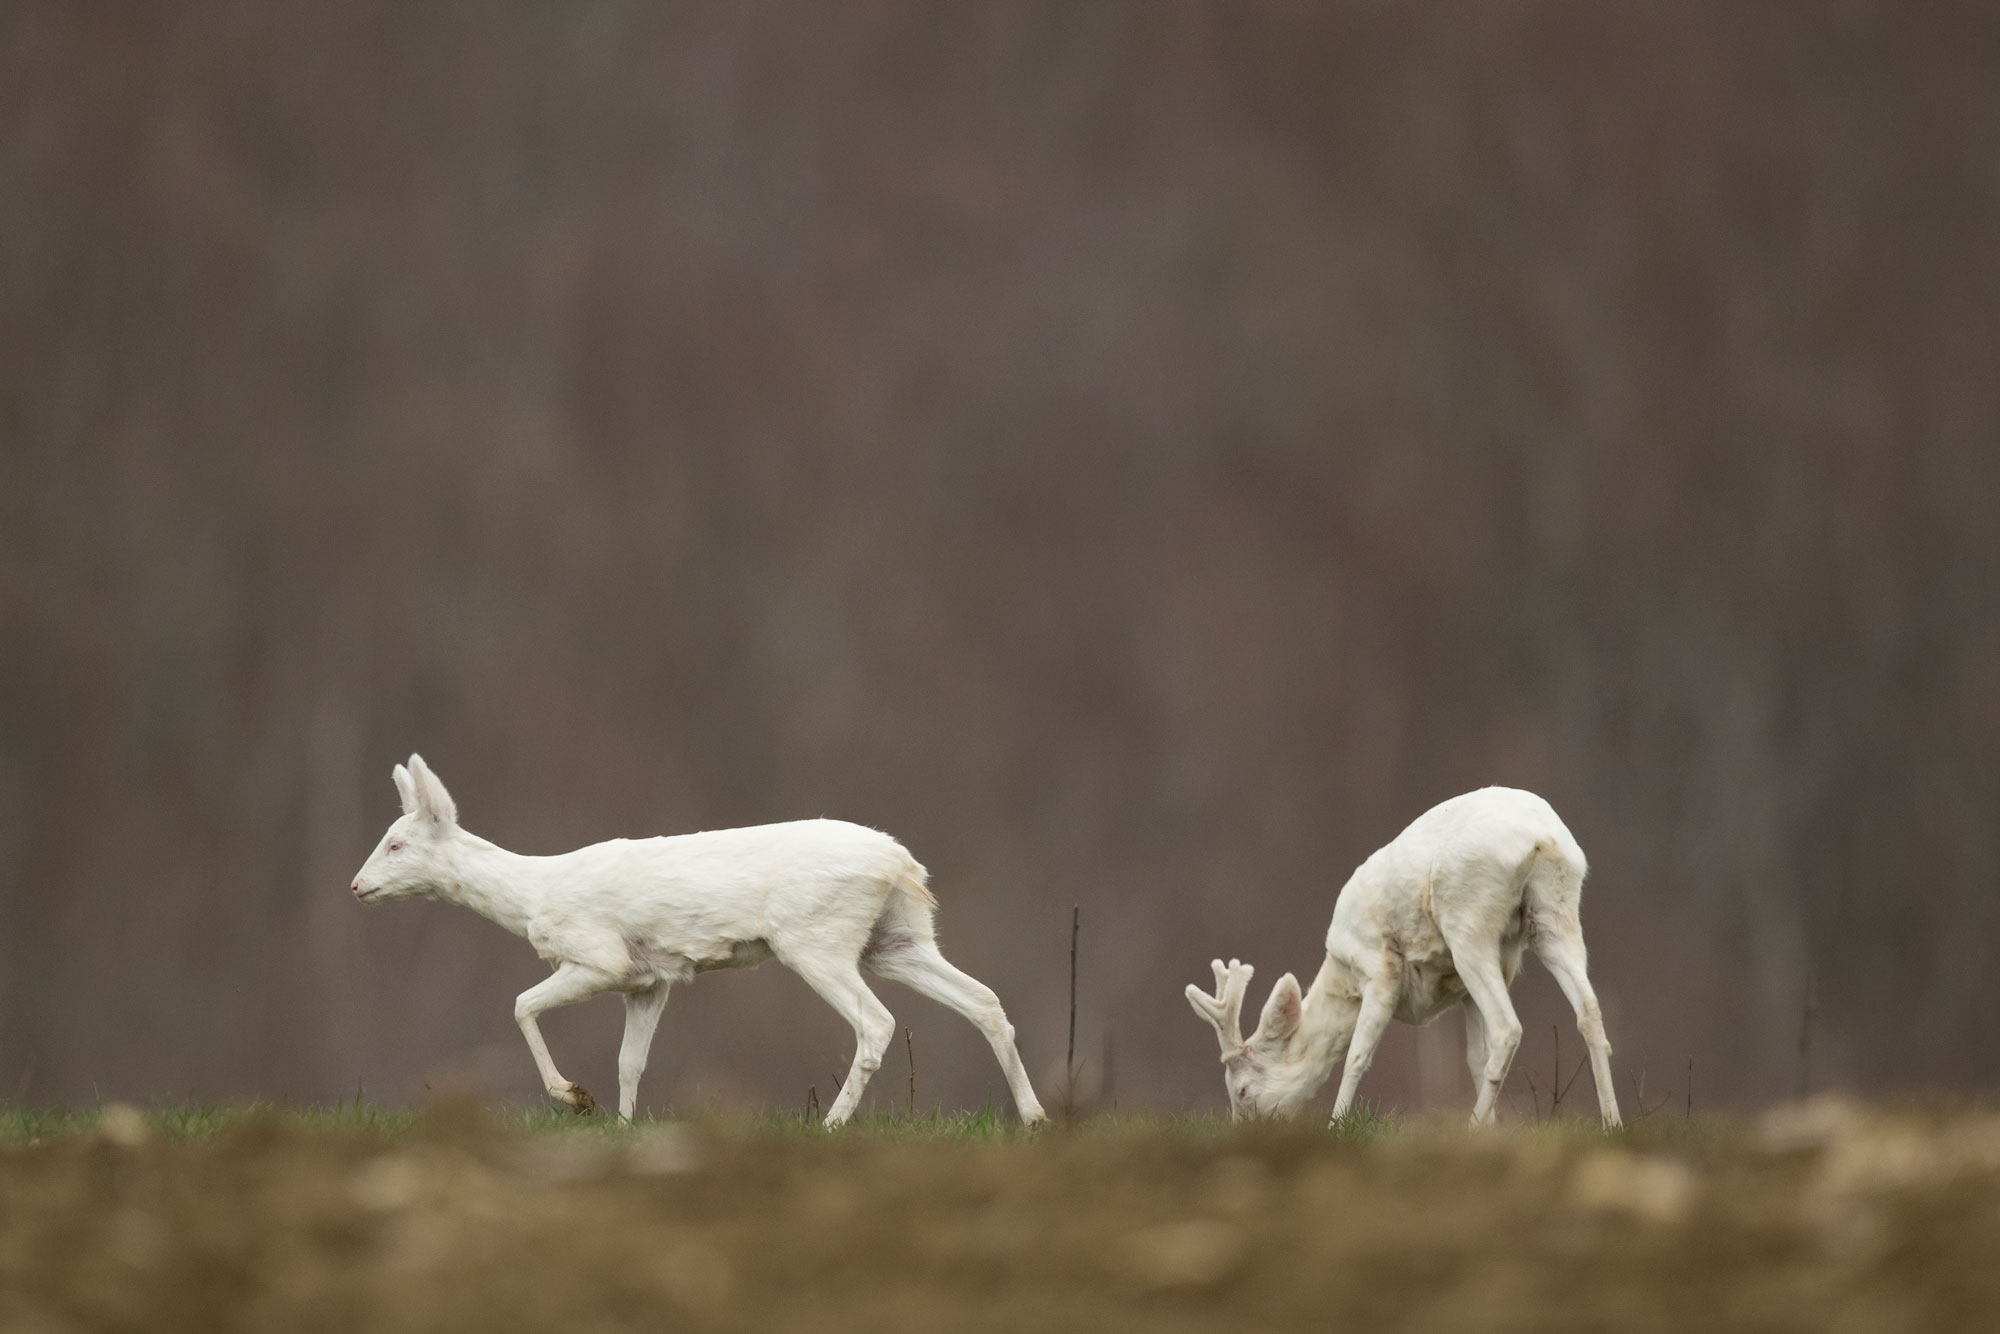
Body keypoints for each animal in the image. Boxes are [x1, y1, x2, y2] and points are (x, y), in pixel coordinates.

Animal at [354, 752, 1056, 1128]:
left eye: (396, 843)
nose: (357, 886)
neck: (532, 892)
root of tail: (902, 865)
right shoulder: (650, 979)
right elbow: (630, 1060)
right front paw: (621, 1123)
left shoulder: (599, 955)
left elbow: (521, 1004)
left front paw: (573, 1097)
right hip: (897, 939)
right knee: (984, 1000)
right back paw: (1035, 1117)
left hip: (817, 937)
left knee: (877, 1022)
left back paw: (830, 1124)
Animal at [1184, 788, 1624, 1136]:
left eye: (1242, 1090)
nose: (1244, 1132)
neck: (1341, 978)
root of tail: (1541, 838)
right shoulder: (1466, 990)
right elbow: (1474, 1059)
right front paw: (1495, 1130)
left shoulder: (1379, 968)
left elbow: (1357, 1055)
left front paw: (1335, 1126)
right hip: (1554, 914)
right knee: (1589, 1009)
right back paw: (1612, 1122)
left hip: (1468, 921)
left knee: (1508, 1027)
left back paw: (1469, 1129)